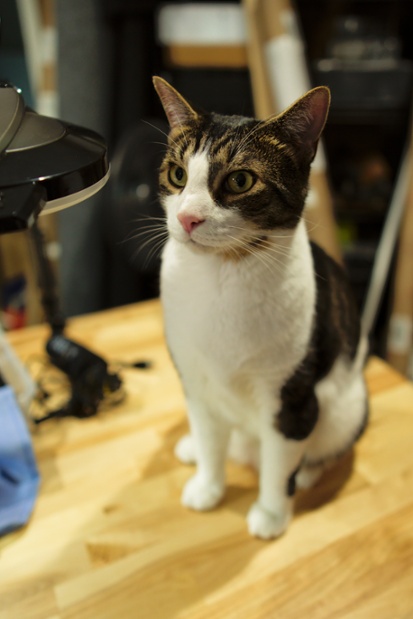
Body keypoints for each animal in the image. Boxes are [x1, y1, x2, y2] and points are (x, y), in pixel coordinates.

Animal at [151, 76, 366, 544]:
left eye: (240, 181)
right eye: (177, 175)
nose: (187, 218)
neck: (219, 276)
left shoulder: (292, 397)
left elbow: (279, 461)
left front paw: (270, 513)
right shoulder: (193, 376)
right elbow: (210, 436)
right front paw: (208, 485)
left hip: (347, 405)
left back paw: (305, 474)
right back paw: (195, 447)